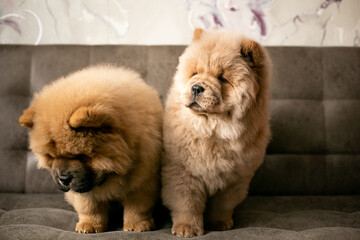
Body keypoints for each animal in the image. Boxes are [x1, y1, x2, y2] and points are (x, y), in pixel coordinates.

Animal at [18, 64, 162, 233]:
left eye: (81, 156)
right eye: (51, 157)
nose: (63, 179)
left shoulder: (143, 179)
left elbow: (137, 206)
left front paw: (137, 225)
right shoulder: (84, 189)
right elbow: (89, 207)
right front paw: (89, 225)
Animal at [162, 29, 272, 237]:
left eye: (222, 78)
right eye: (195, 73)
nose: (196, 87)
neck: (214, 130)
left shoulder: (235, 178)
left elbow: (223, 205)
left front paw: (220, 223)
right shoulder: (183, 172)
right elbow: (187, 203)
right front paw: (187, 228)